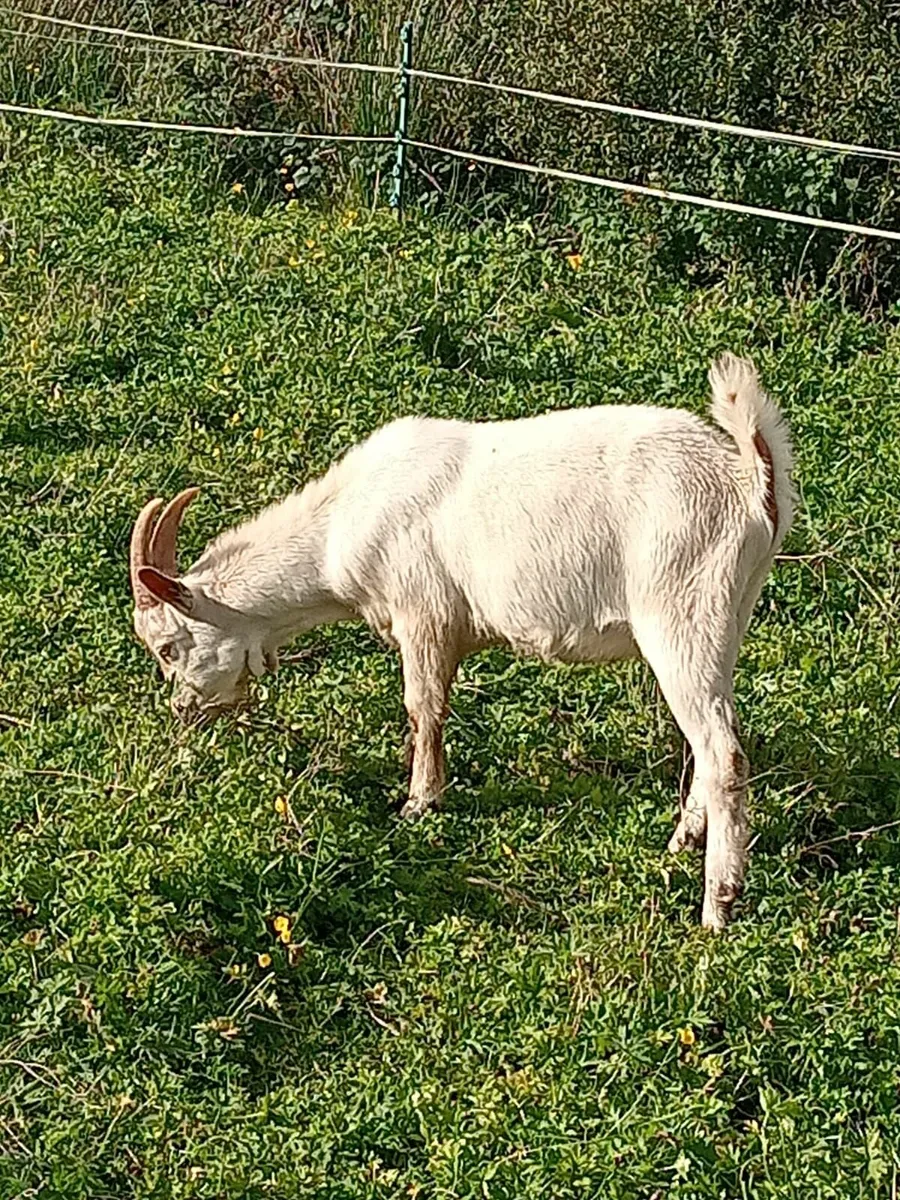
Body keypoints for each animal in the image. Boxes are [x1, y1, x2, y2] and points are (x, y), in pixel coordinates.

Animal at [130, 353, 792, 928]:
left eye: (168, 648)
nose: (182, 711)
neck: (337, 530)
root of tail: (749, 481)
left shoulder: (422, 613)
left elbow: (423, 708)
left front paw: (419, 802)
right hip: (727, 617)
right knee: (713, 740)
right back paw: (682, 842)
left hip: (682, 610)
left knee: (723, 753)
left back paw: (717, 906)